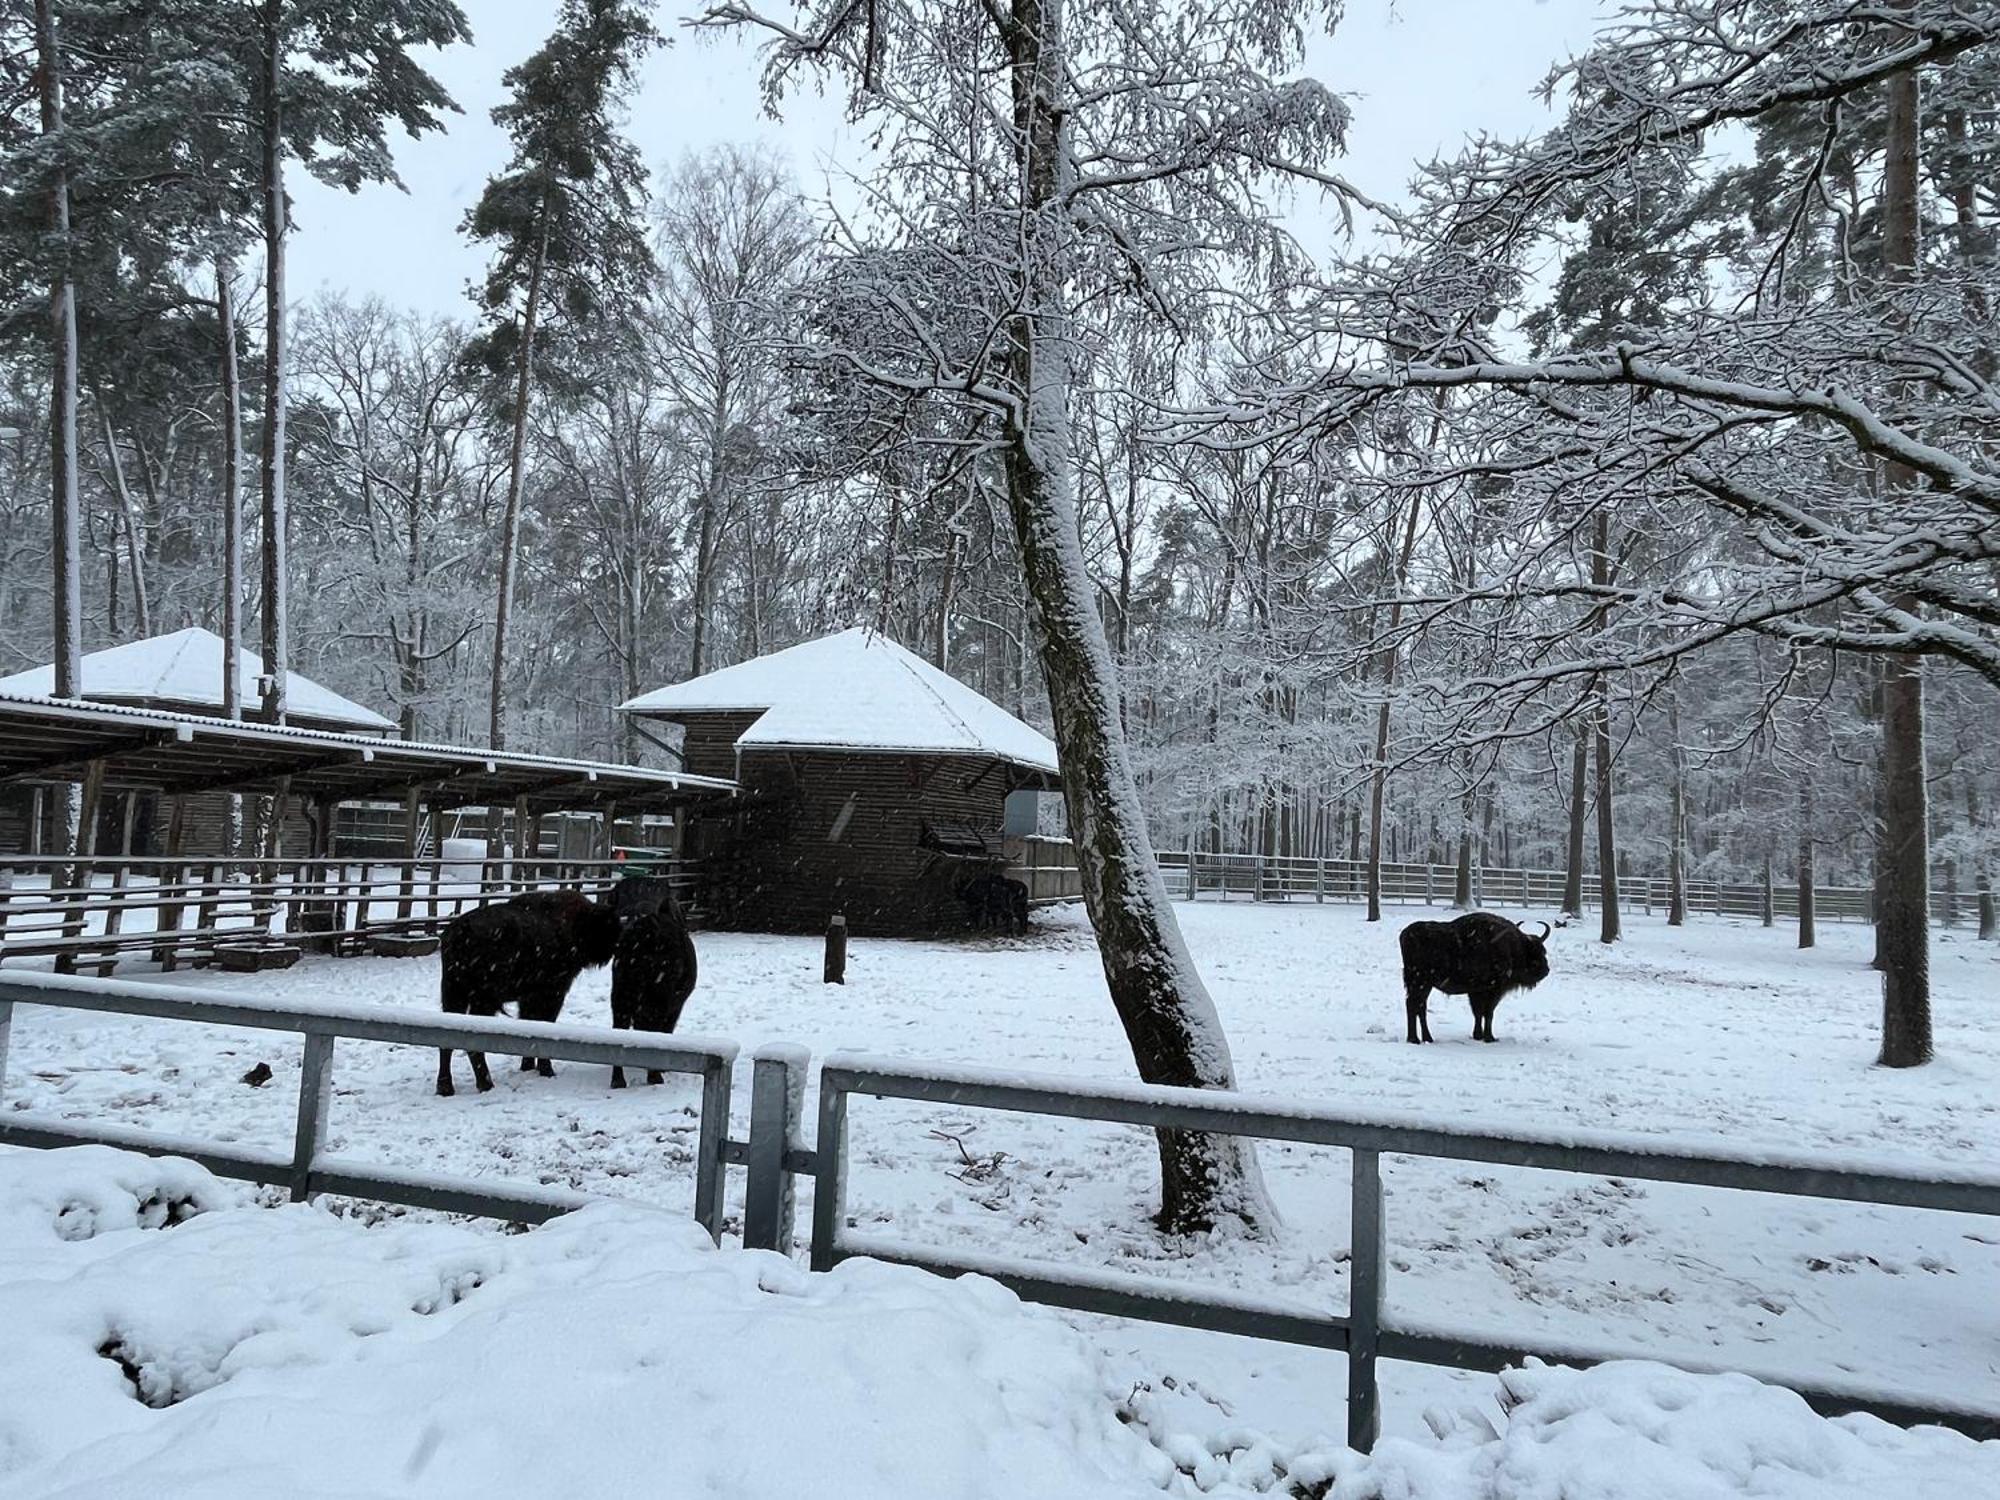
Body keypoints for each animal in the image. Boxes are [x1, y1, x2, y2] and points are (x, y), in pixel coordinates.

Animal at [436, 888, 616, 1096]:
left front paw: (527, 1067)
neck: (577, 922)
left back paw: (446, 1087)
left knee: (447, 1042)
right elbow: (544, 1023)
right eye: (607, 927)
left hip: (453, 995)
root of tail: (459, 932)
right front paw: (546, 1070)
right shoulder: (553, 992)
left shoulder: (528, 997)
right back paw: (486, 1084)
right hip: (482, 1000)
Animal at [604, 876, 700, 1088]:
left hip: (621, 993)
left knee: (620, 1030)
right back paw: (654, 1076)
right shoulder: (675, 1005)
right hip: (658, 997)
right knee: (655, 1028)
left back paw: (618, 1080)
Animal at [1400, 916, 1552, 1048]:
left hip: (1425, 985)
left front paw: (1478, 1035)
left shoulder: (1476, 992)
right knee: (1412, 1005)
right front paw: (1489, 1038)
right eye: (1534, 951)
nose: (1546, 970)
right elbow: (1488, 1013)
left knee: (1420, 1007)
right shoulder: (1492, 991)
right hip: (1419, 982)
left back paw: (1427, 1038)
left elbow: (1478, 1013)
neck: (1513, 947)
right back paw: (1414, 1039)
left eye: (1544, 950)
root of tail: (1405, 934)